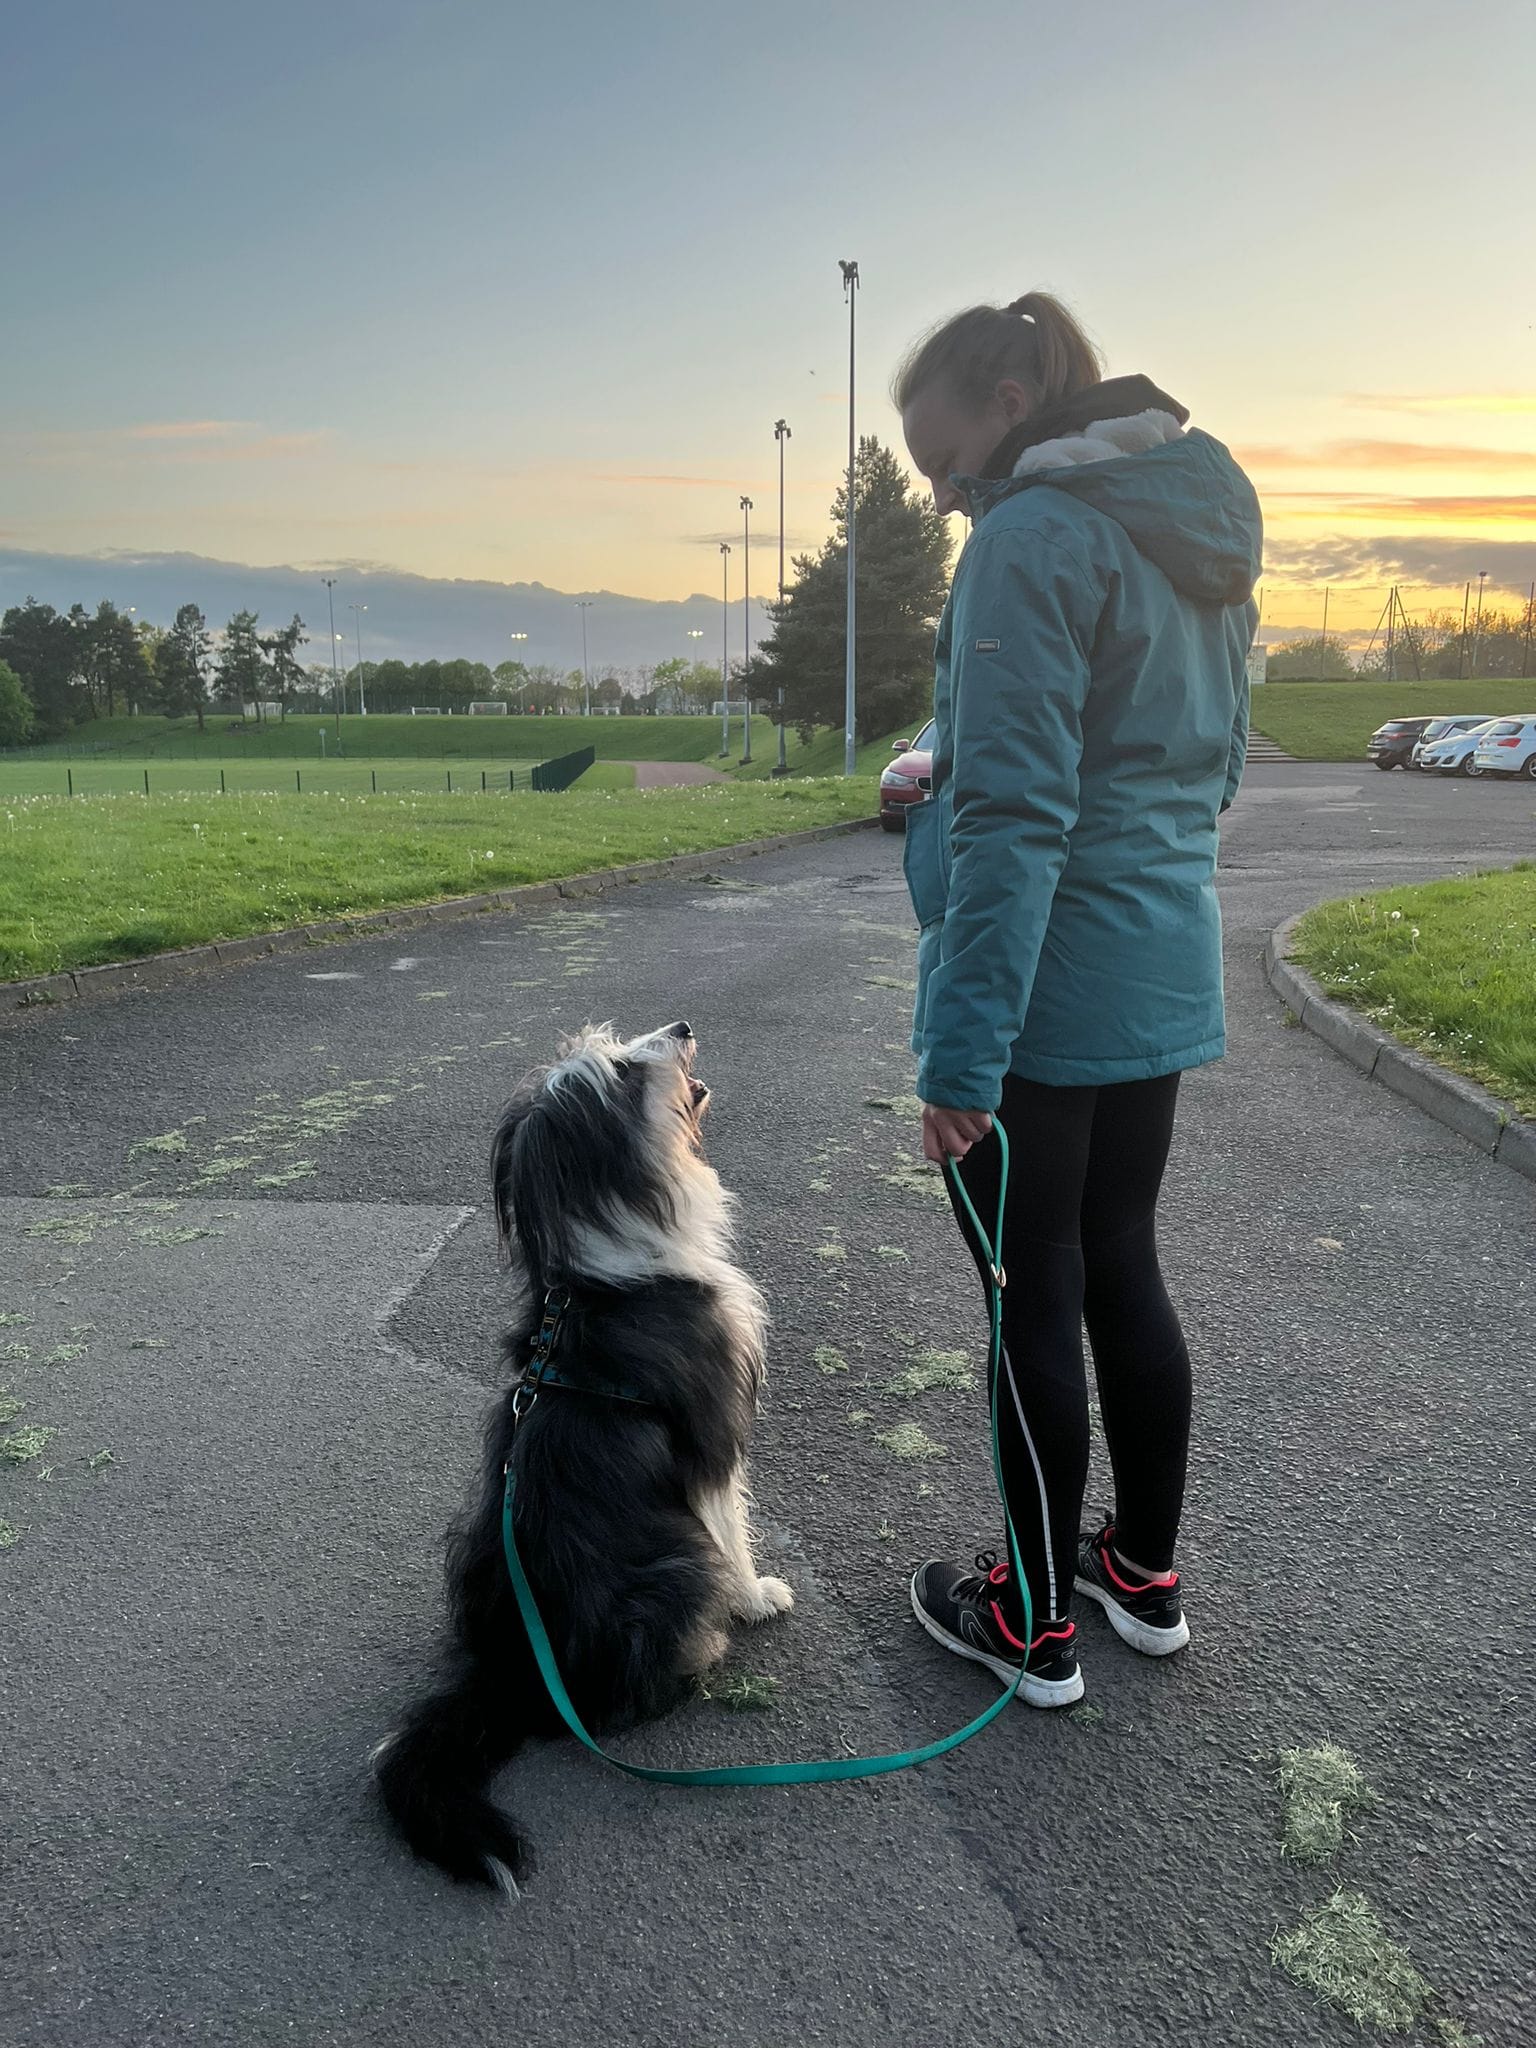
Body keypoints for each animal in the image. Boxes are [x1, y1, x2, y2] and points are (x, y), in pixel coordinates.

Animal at [372, 1015, 794, 1892]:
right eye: (626, 1070)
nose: (683, 1025)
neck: (609, 1273)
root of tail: (514, 1672)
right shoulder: (714, 1433)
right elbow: (733, 1524)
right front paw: (758, 1597)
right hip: (674, 1572)